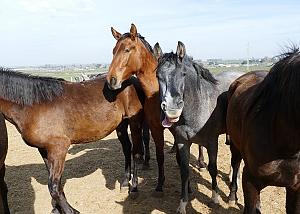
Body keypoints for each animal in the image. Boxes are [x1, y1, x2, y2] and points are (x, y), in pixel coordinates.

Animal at [0, 67, 148, 213]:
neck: (32, 106)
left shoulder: (59, 148)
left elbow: (53, 186)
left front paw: (69, 210)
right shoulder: (44, 149)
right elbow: (56, 183)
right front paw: (57, 208)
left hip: (134, 122)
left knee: (136, 152)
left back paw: (134, 189)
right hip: (121, 124)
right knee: (127, 148)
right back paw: (125, 183)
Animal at [152, 41, 244, 212]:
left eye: (183, 74)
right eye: (158, 76)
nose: (172, 110)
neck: (198, 105)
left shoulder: (212, 142)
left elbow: (212, 168)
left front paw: (214, 198)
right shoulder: (183, 142)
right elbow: (184, 171)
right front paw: (182, 204)